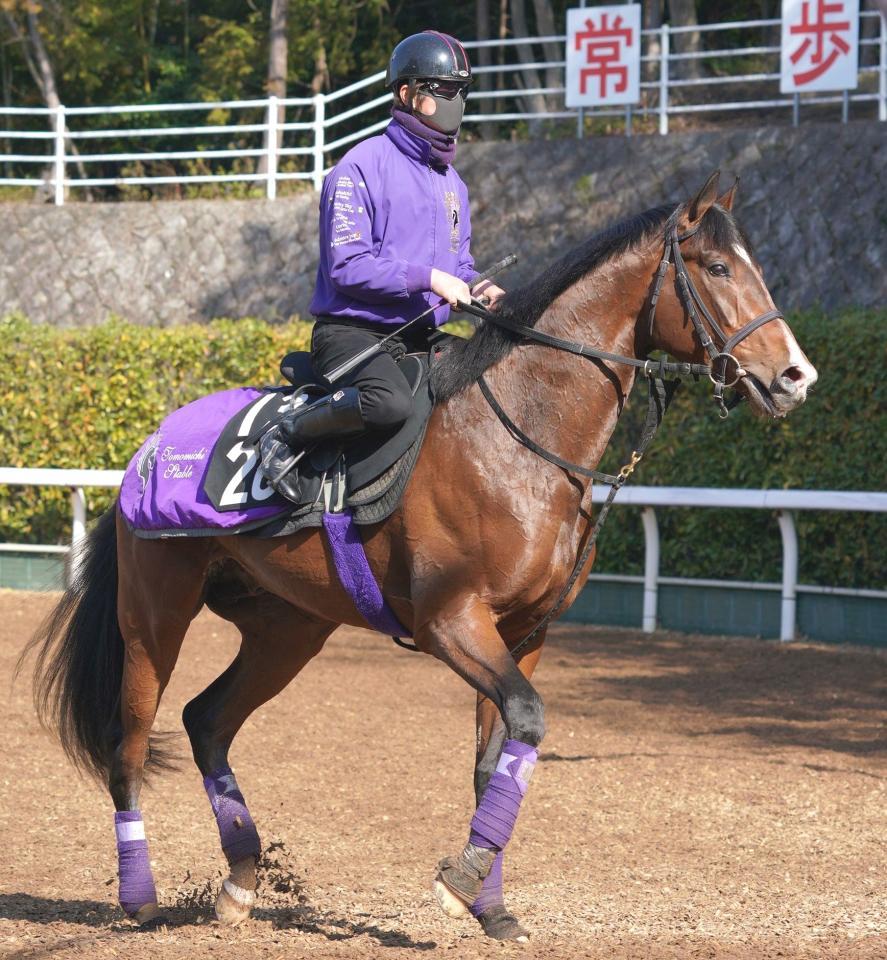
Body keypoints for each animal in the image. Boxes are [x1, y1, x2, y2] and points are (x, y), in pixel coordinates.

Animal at [24, 174, 820, 944]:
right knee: (129, 746)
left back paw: (242, 878)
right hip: (153, 619)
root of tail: (148, 447)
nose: (795, 376)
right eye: (716, 267)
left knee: (207, 721)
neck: (518, 437)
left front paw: (488, 905)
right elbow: (526, 721)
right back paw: (139, 898)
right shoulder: (450, 621)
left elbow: (498, 756)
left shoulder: (524, 635)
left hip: (288, 630)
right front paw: (461, 880)